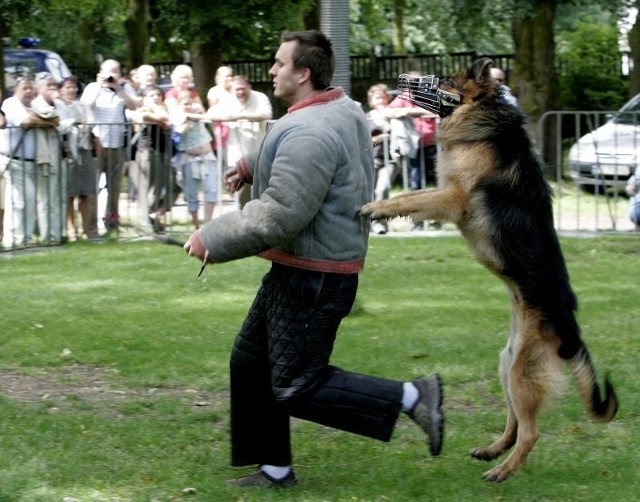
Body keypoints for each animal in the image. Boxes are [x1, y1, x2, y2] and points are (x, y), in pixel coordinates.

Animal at [358, 57, 616, 482]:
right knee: (515, 423)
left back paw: (503, 470)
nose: (404, 79)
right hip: (507, 364)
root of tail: (570, 327)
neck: (483, 114)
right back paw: (493, 449)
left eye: (447, 80)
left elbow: (410, 196)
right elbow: (413, 194)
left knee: (531, 432)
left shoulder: (453, 197)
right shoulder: (448, 192)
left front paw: (377, 209)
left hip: (521, 373)